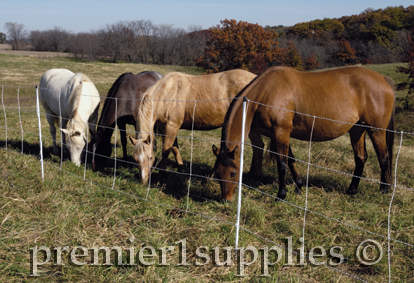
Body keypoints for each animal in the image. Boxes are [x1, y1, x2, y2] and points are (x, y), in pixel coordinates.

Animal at [212, 66, 396, 202]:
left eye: (233, 173)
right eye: (217, 173)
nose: (226, 200)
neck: (266, 92)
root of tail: (382, 78)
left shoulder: (281, 132)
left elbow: (282, 163)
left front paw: (281, 195)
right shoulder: (277, 134)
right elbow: (291, 160)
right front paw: (299, 186)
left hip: (376, 130)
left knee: (384, 157)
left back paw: (384, 190)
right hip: (357, 129)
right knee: (361, 158)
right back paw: (351, 190)